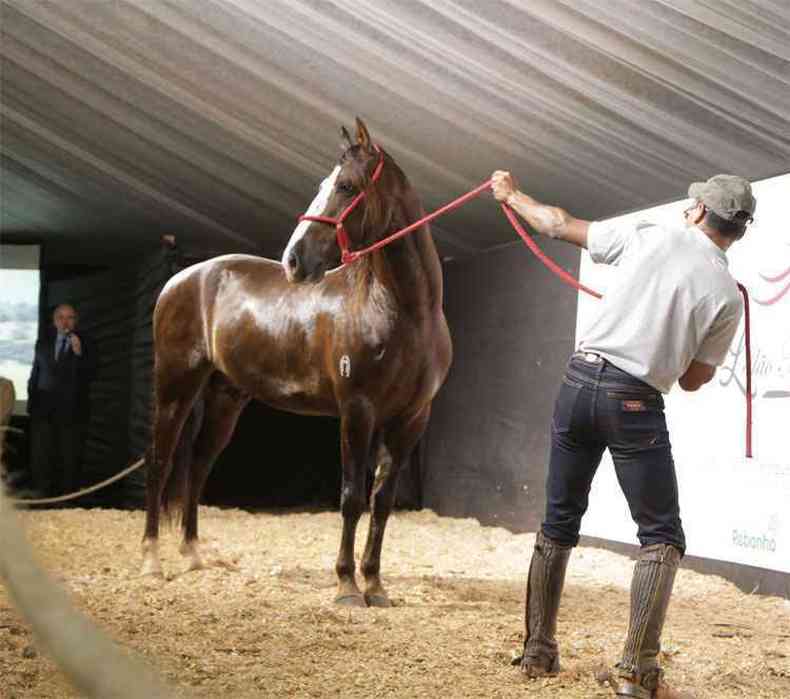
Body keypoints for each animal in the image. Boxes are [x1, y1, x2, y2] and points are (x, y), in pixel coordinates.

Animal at [139, 117, 454, 604]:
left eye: (346, 186)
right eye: (323, 184)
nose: (294, 260)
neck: (405, 312)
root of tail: (181, 278)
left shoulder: (411, 419)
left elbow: (382, 502)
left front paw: (375, 584)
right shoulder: (357, 411)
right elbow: (352, 497)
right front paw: (346, 586)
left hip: (226, 396)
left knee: (198, 464)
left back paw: (192, 555)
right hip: (175, 386)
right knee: (159, 462)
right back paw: (152, 562)